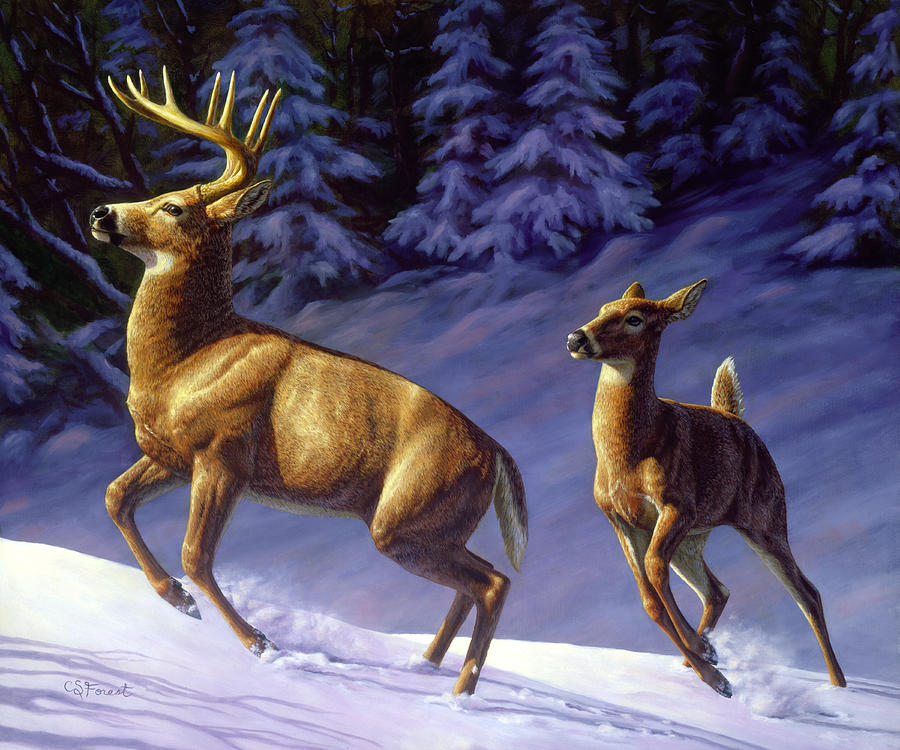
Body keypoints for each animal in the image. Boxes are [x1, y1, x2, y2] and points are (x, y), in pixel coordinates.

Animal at [88, 67, 527, 696]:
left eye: (172, 206)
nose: (102, 212)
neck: (182, 364)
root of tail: (494, 452)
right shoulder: (171, 454)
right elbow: (116, 497)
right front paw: (175, 599)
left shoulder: (223, 452)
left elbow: (196, 554)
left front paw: (261, 645)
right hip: (430, 522)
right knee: (480, 580)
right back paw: (424, 667)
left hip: (408, 516)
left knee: (493, 582)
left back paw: (459, 694)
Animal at [566, 279, 846, 698]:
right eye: (602, 308)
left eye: (635, 318)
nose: (576, 338)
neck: (628, 456)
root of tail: (736, 418)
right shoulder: (620, 519)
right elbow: (648, 598)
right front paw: (710, 667)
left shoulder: (677, 505)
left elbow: (653, 568)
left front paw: (707, 659)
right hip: (693, 541)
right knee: (717, 590)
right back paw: (698, 658)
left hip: (765, 520)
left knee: (807, 593)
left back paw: (837, 684)